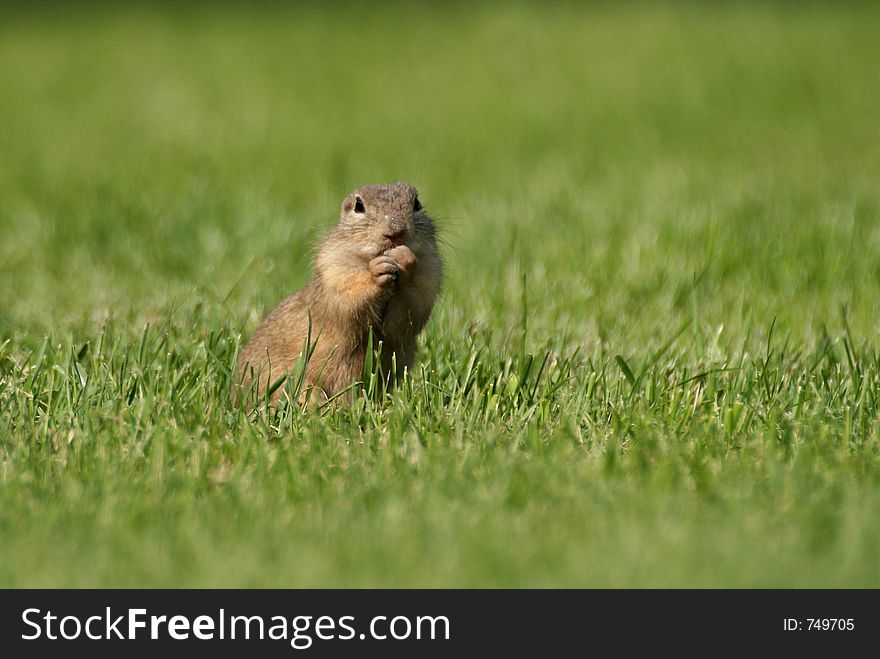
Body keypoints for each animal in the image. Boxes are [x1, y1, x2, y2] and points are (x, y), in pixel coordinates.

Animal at [234, 183, 444, 404]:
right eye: (359, 206)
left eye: (417, 203)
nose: (395, 231)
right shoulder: (334, 270)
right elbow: (346, 302)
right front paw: (377, 271)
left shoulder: (429, 276)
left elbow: (408, 314)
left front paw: (404, 258)